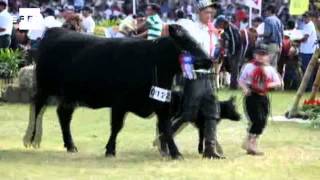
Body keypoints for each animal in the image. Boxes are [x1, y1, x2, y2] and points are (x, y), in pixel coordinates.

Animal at [23, 25, 214, 159]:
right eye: (188, 41)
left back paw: (71, 145)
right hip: (45, 87)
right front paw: (110, 150)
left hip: (70, 95)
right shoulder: (119, 103)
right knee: (37, 107)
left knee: (63, 115)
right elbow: (116, 127)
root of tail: (55, 30)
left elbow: (166, 128)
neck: (154, 62)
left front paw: (174, 153)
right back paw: (30, 139)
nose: (210, 60)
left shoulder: (161, 104)